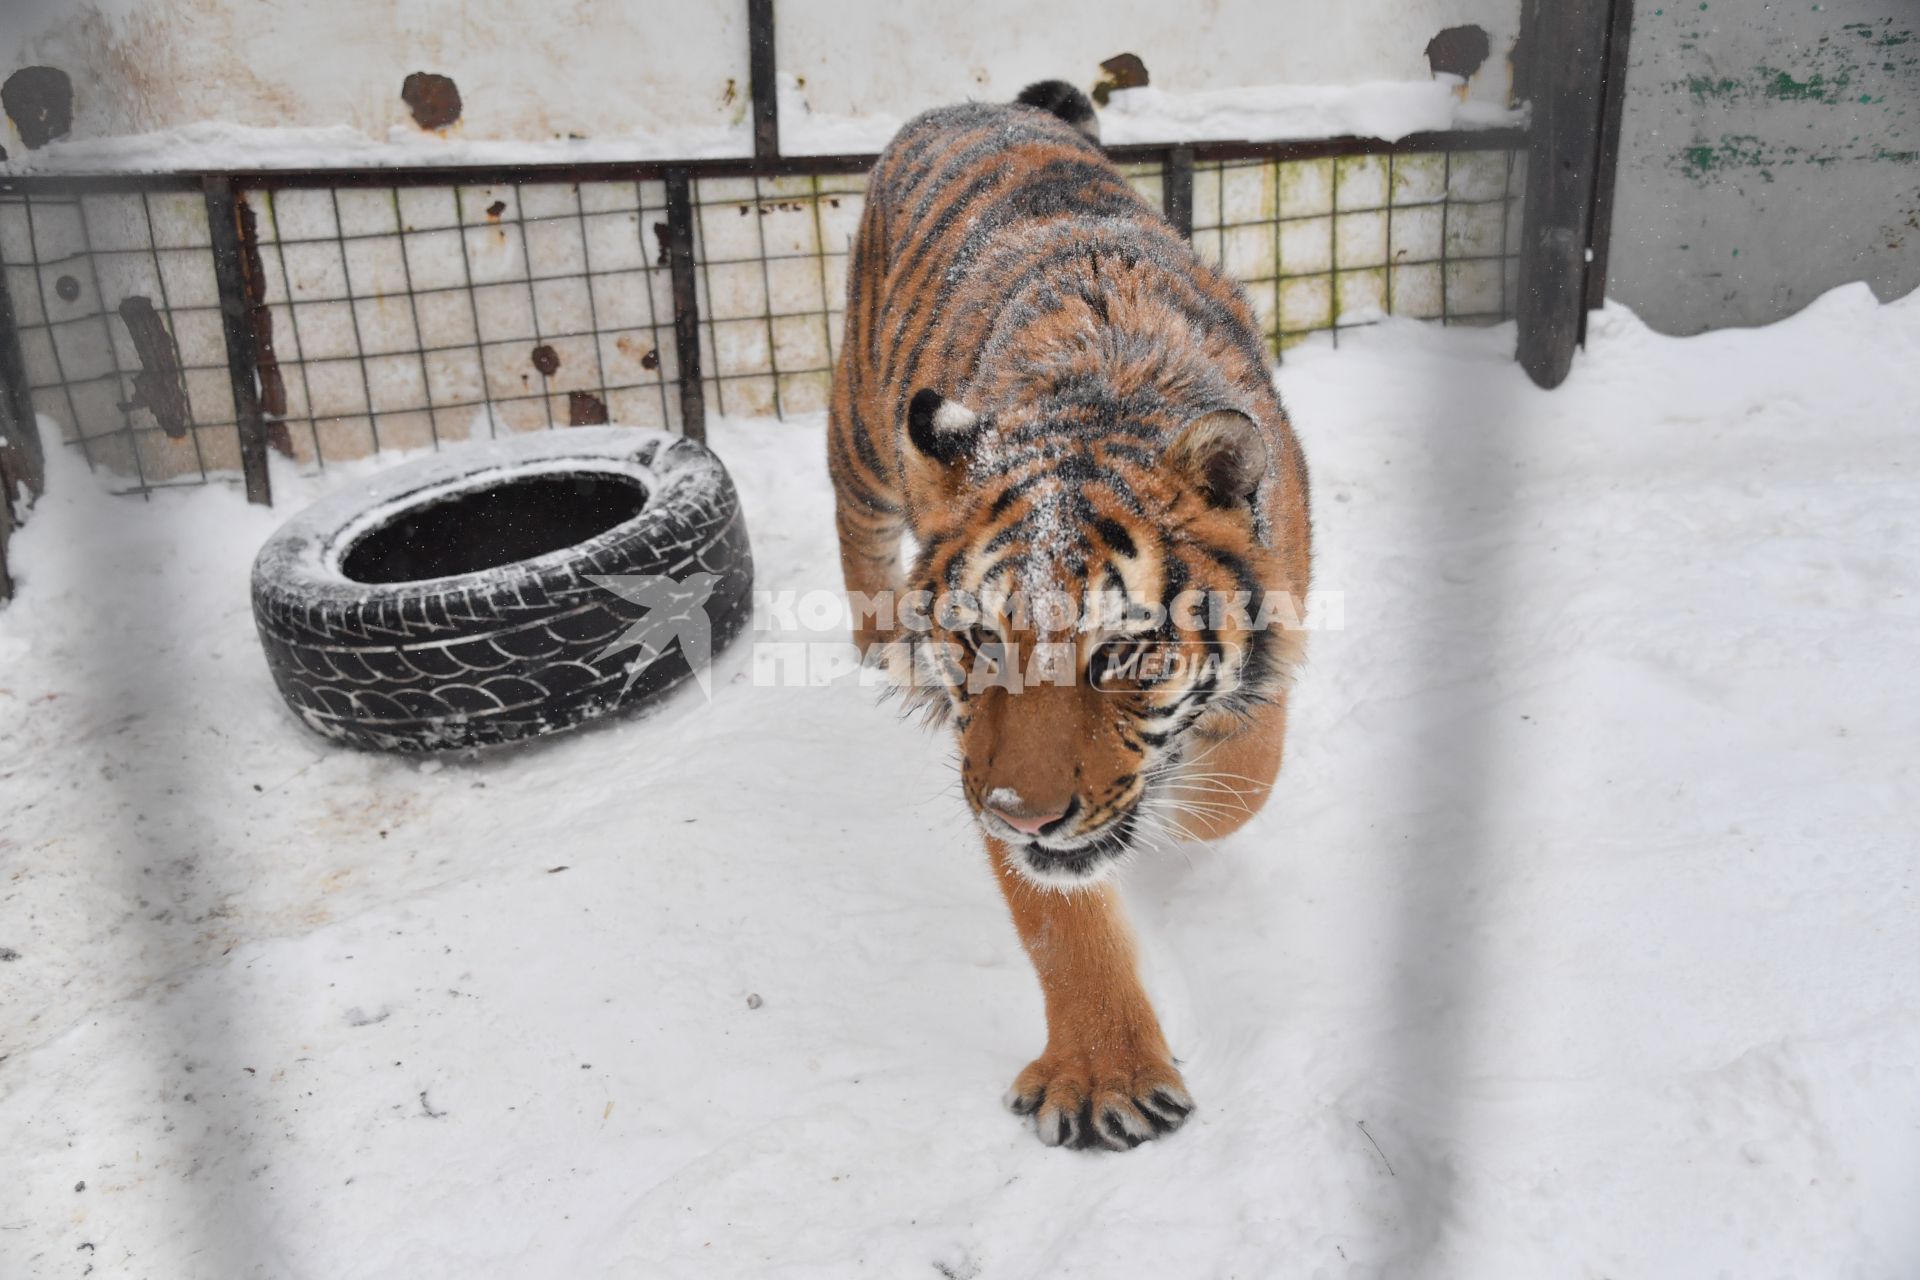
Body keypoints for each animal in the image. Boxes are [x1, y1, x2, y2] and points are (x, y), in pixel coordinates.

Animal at [833, 84, 1313, 1159]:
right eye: (979, 642)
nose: (1022, 812)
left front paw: (1180, 816)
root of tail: (972, 105)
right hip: (866, 439)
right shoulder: (986, 761)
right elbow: (1060, 921)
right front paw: (1106, 1082)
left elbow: (1237, 786)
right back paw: (883, 656)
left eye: (1122, 654)